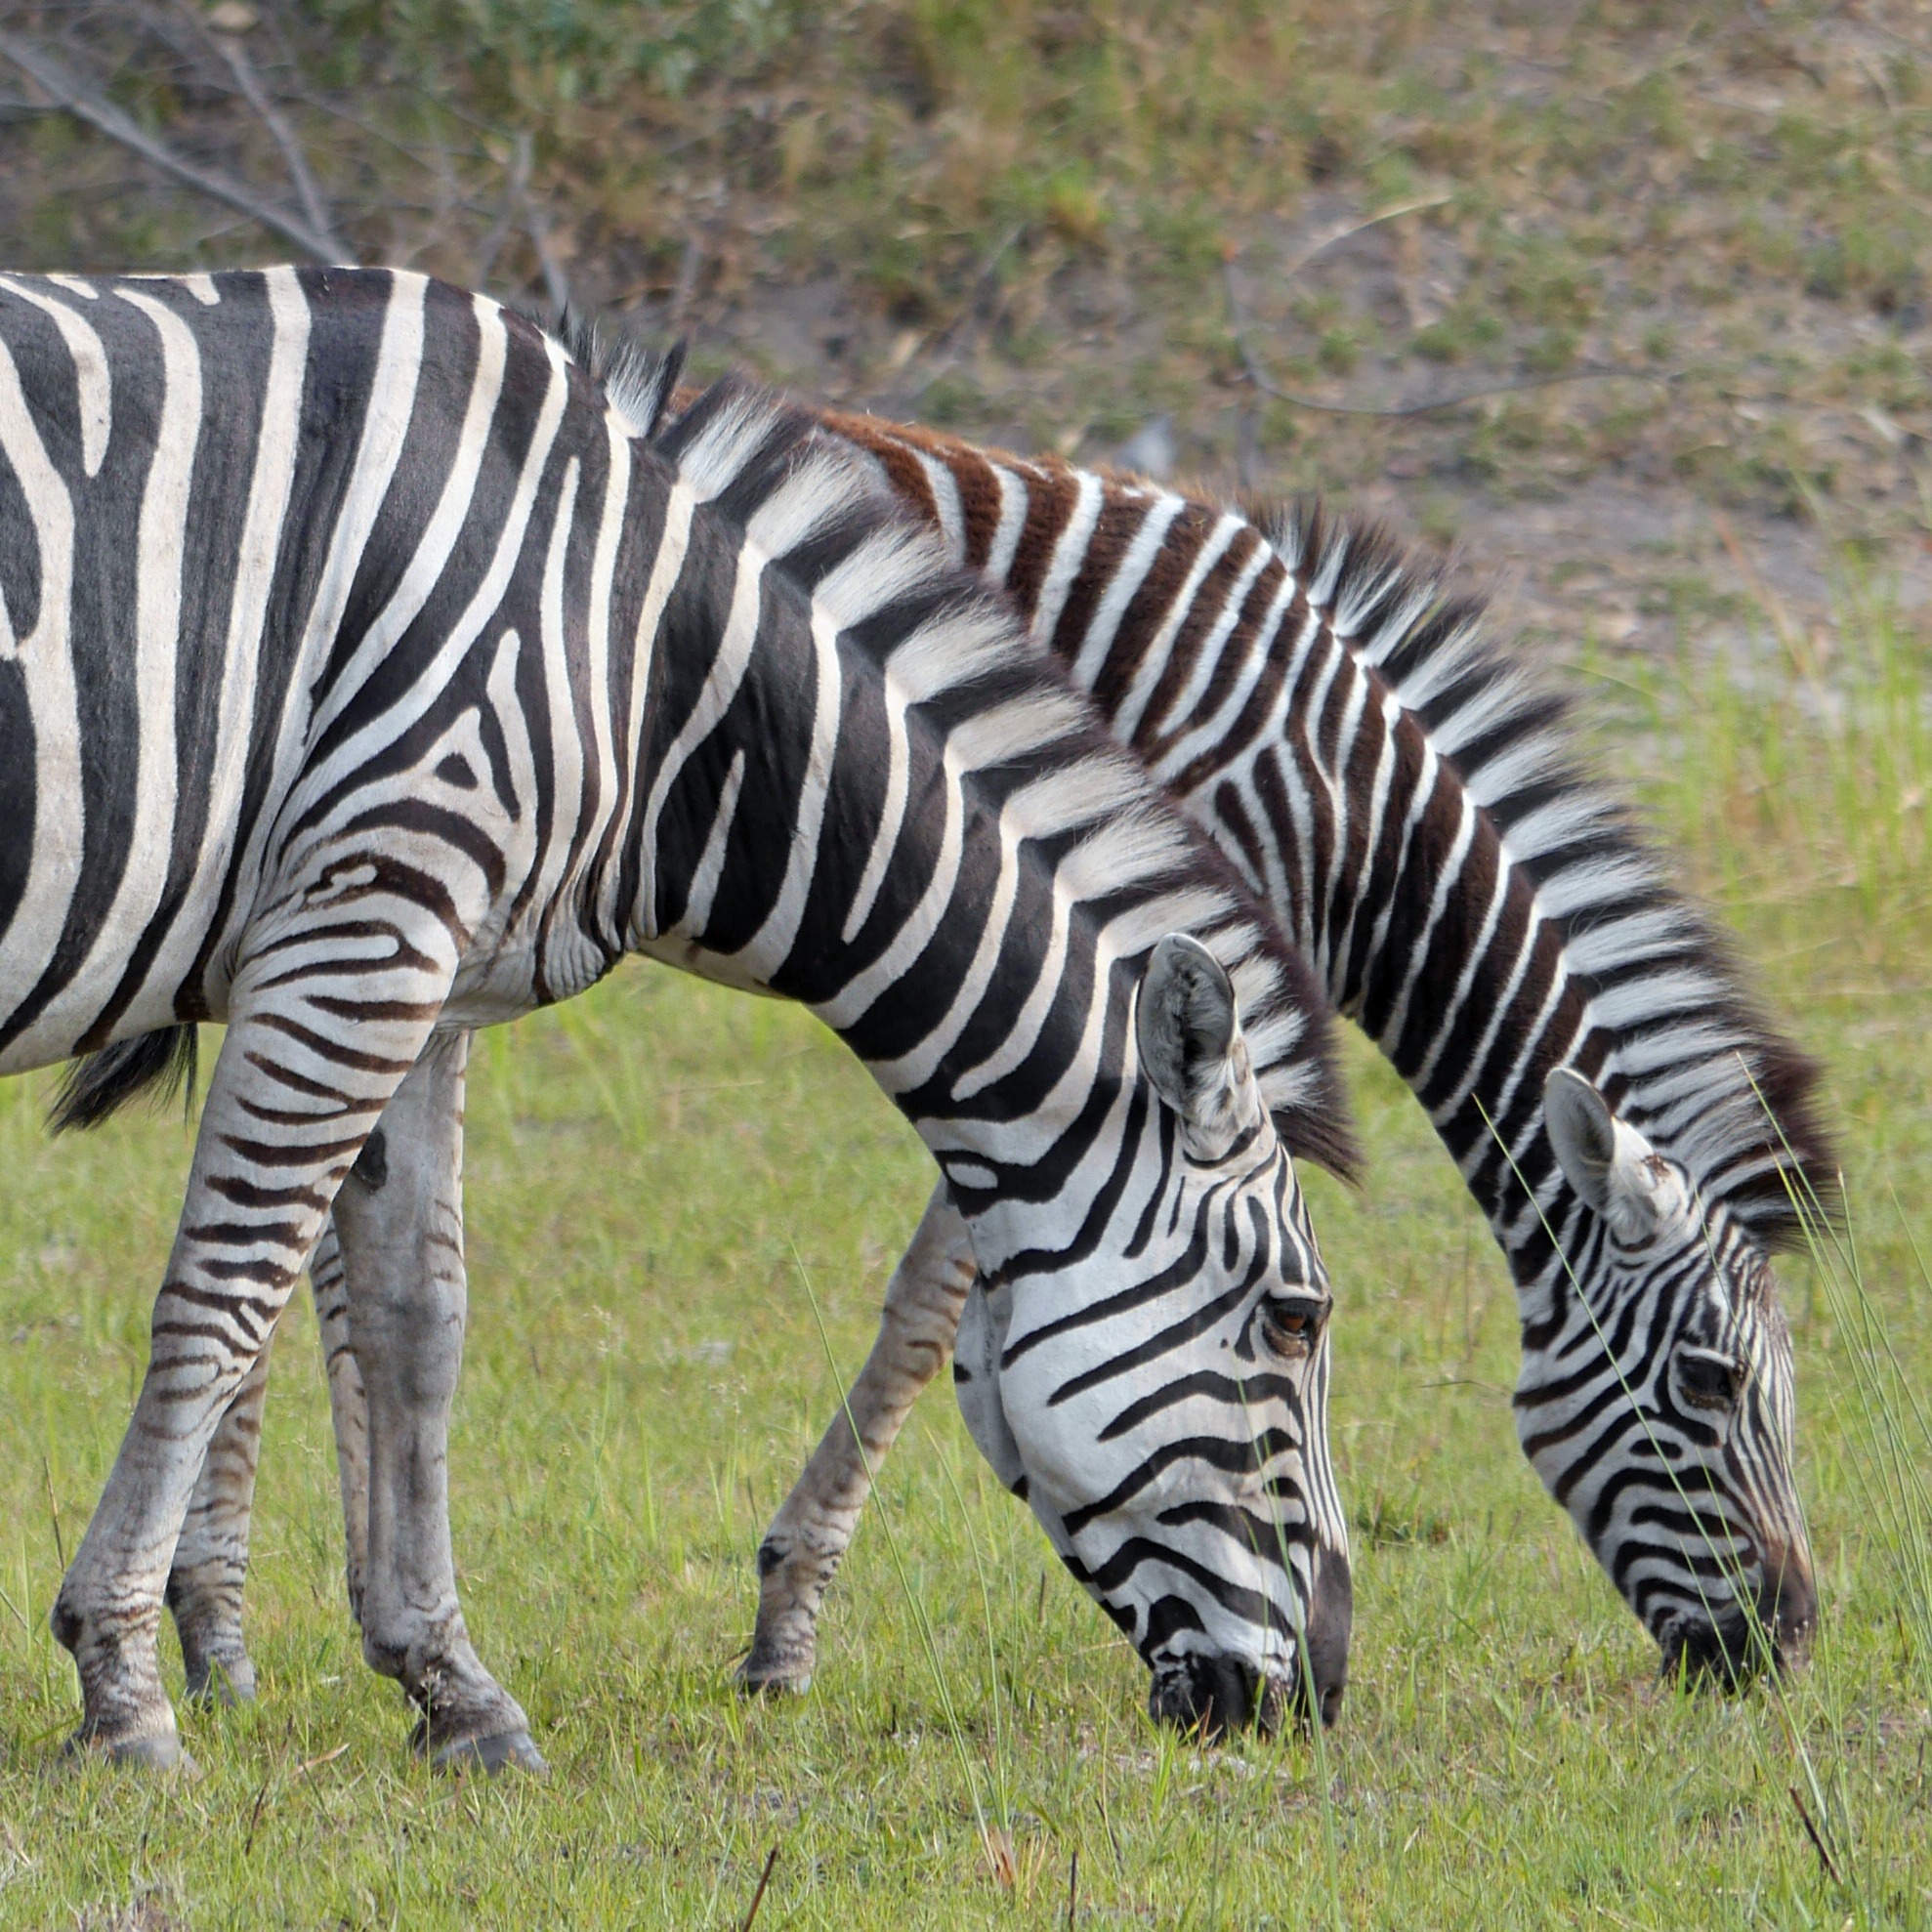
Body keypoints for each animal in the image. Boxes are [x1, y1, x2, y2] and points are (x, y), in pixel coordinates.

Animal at [3, 268, 1360, 1769]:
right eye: (1295, 1320)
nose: (1320, 1696)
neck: (648, 667)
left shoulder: (419, 953)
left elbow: (419, 1318)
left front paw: (449, 1684)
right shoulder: (369, 910)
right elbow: (221, 1296)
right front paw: (121, 1686)